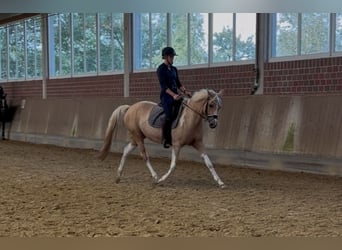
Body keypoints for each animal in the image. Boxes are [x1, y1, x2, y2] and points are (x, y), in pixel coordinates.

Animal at [97, 89, 226, 188]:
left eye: (220, 107)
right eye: (211, 105)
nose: (213, 123)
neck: (189, 119)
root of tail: (130, 108)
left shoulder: (198, 143)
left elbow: (209, 163)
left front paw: (220, 182)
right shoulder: (177, 145)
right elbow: (173, 165)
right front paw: (161, 180)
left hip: (136, 137)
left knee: (126, 151)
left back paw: (118, 176)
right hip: (138, 137)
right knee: (144, 156)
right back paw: (155, 177)